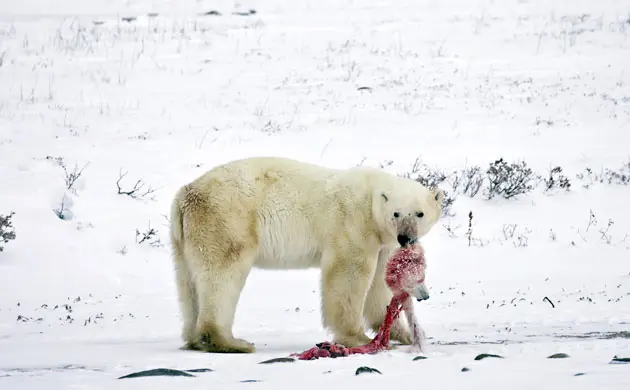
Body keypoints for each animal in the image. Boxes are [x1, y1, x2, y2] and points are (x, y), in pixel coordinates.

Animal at [168, 155, 444, 354]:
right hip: (227, 220)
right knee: (222, 276)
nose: (406, 238)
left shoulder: (382, 241)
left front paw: (402, 334)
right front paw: (356, 337)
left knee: (188, 283)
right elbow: (349, 274)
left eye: (419, 213)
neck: (371, 197)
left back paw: (194, 339)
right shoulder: (353, 223)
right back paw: (230, 342)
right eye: (396, 213)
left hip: (184, 238)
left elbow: (379, 284)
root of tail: (185, 193)